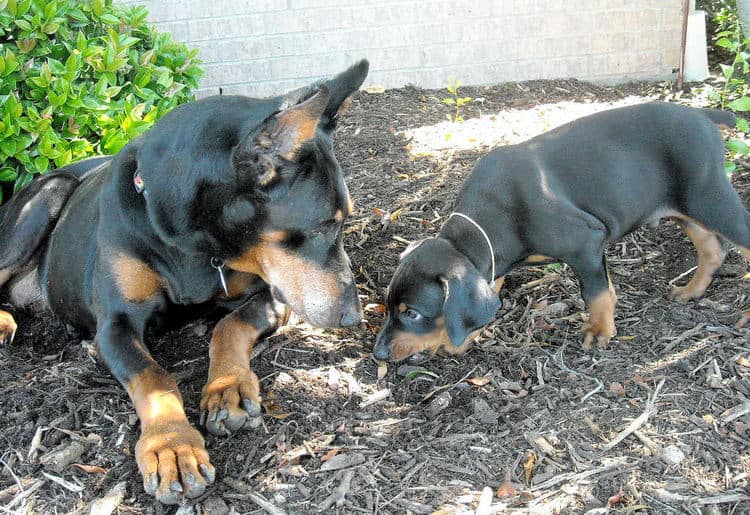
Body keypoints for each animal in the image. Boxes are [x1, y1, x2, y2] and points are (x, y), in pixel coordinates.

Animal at [0, 60, 370, 504]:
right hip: (43, 199)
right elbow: (153, 377)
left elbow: (230, 324)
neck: (193, 243)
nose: (353, 316)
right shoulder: (115, 325)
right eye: (323, 226)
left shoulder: (273, 294)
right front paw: (172, 447)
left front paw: (227, 388)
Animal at [374, 102, 748, 362]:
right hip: (686, 208)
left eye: (412, 313)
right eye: (388, 306)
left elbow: (597, 294)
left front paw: (600, 331)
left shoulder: (586, 244)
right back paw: (691, 291)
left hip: (710, 197)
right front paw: (464, 338)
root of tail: (700, 113)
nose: (378, 354)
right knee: (713, 250)